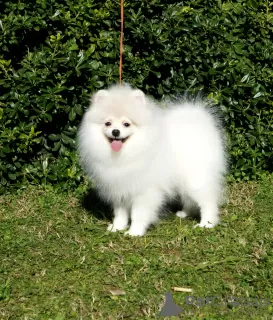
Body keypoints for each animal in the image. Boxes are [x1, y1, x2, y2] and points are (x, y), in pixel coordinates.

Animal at [76, 84, 225, 236]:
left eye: (126, 124)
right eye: (108, 123)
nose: (115, 131)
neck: (126, 154)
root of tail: (197, 121)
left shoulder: (144, 191)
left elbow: (138, 214)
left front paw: (134, 232)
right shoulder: (120, 188)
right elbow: (120, 213)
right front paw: (117, 227)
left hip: (195, 179)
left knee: (208, 201)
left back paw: (206, 224)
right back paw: (184, 213)